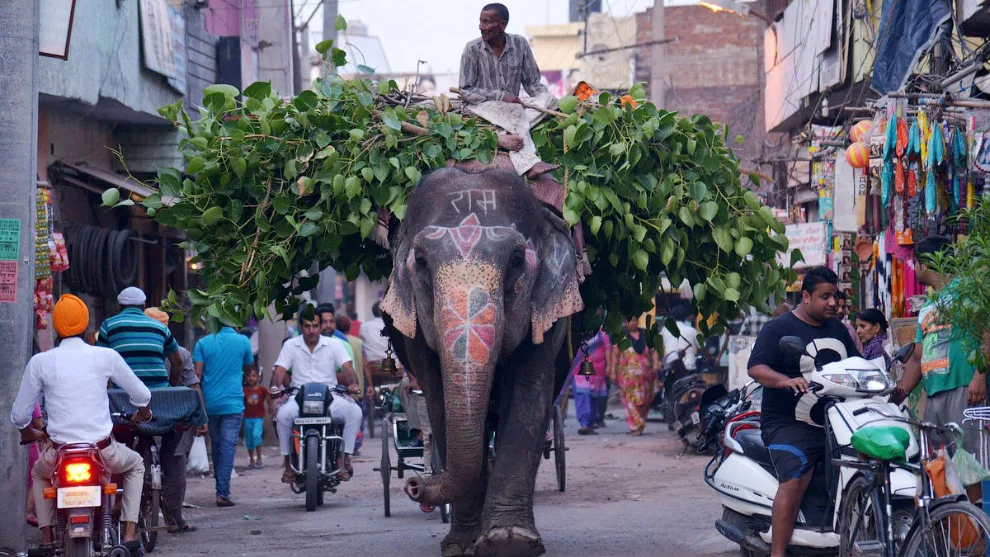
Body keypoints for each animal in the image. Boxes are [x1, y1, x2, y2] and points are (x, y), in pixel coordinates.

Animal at [380, 166, 580, 556]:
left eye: (517, 260)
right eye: (421, 262)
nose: (414, 484)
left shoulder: (544, 317)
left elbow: (529, 395)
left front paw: (509, 542)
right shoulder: (417, 335)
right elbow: (438, 402)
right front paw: (462, 546)